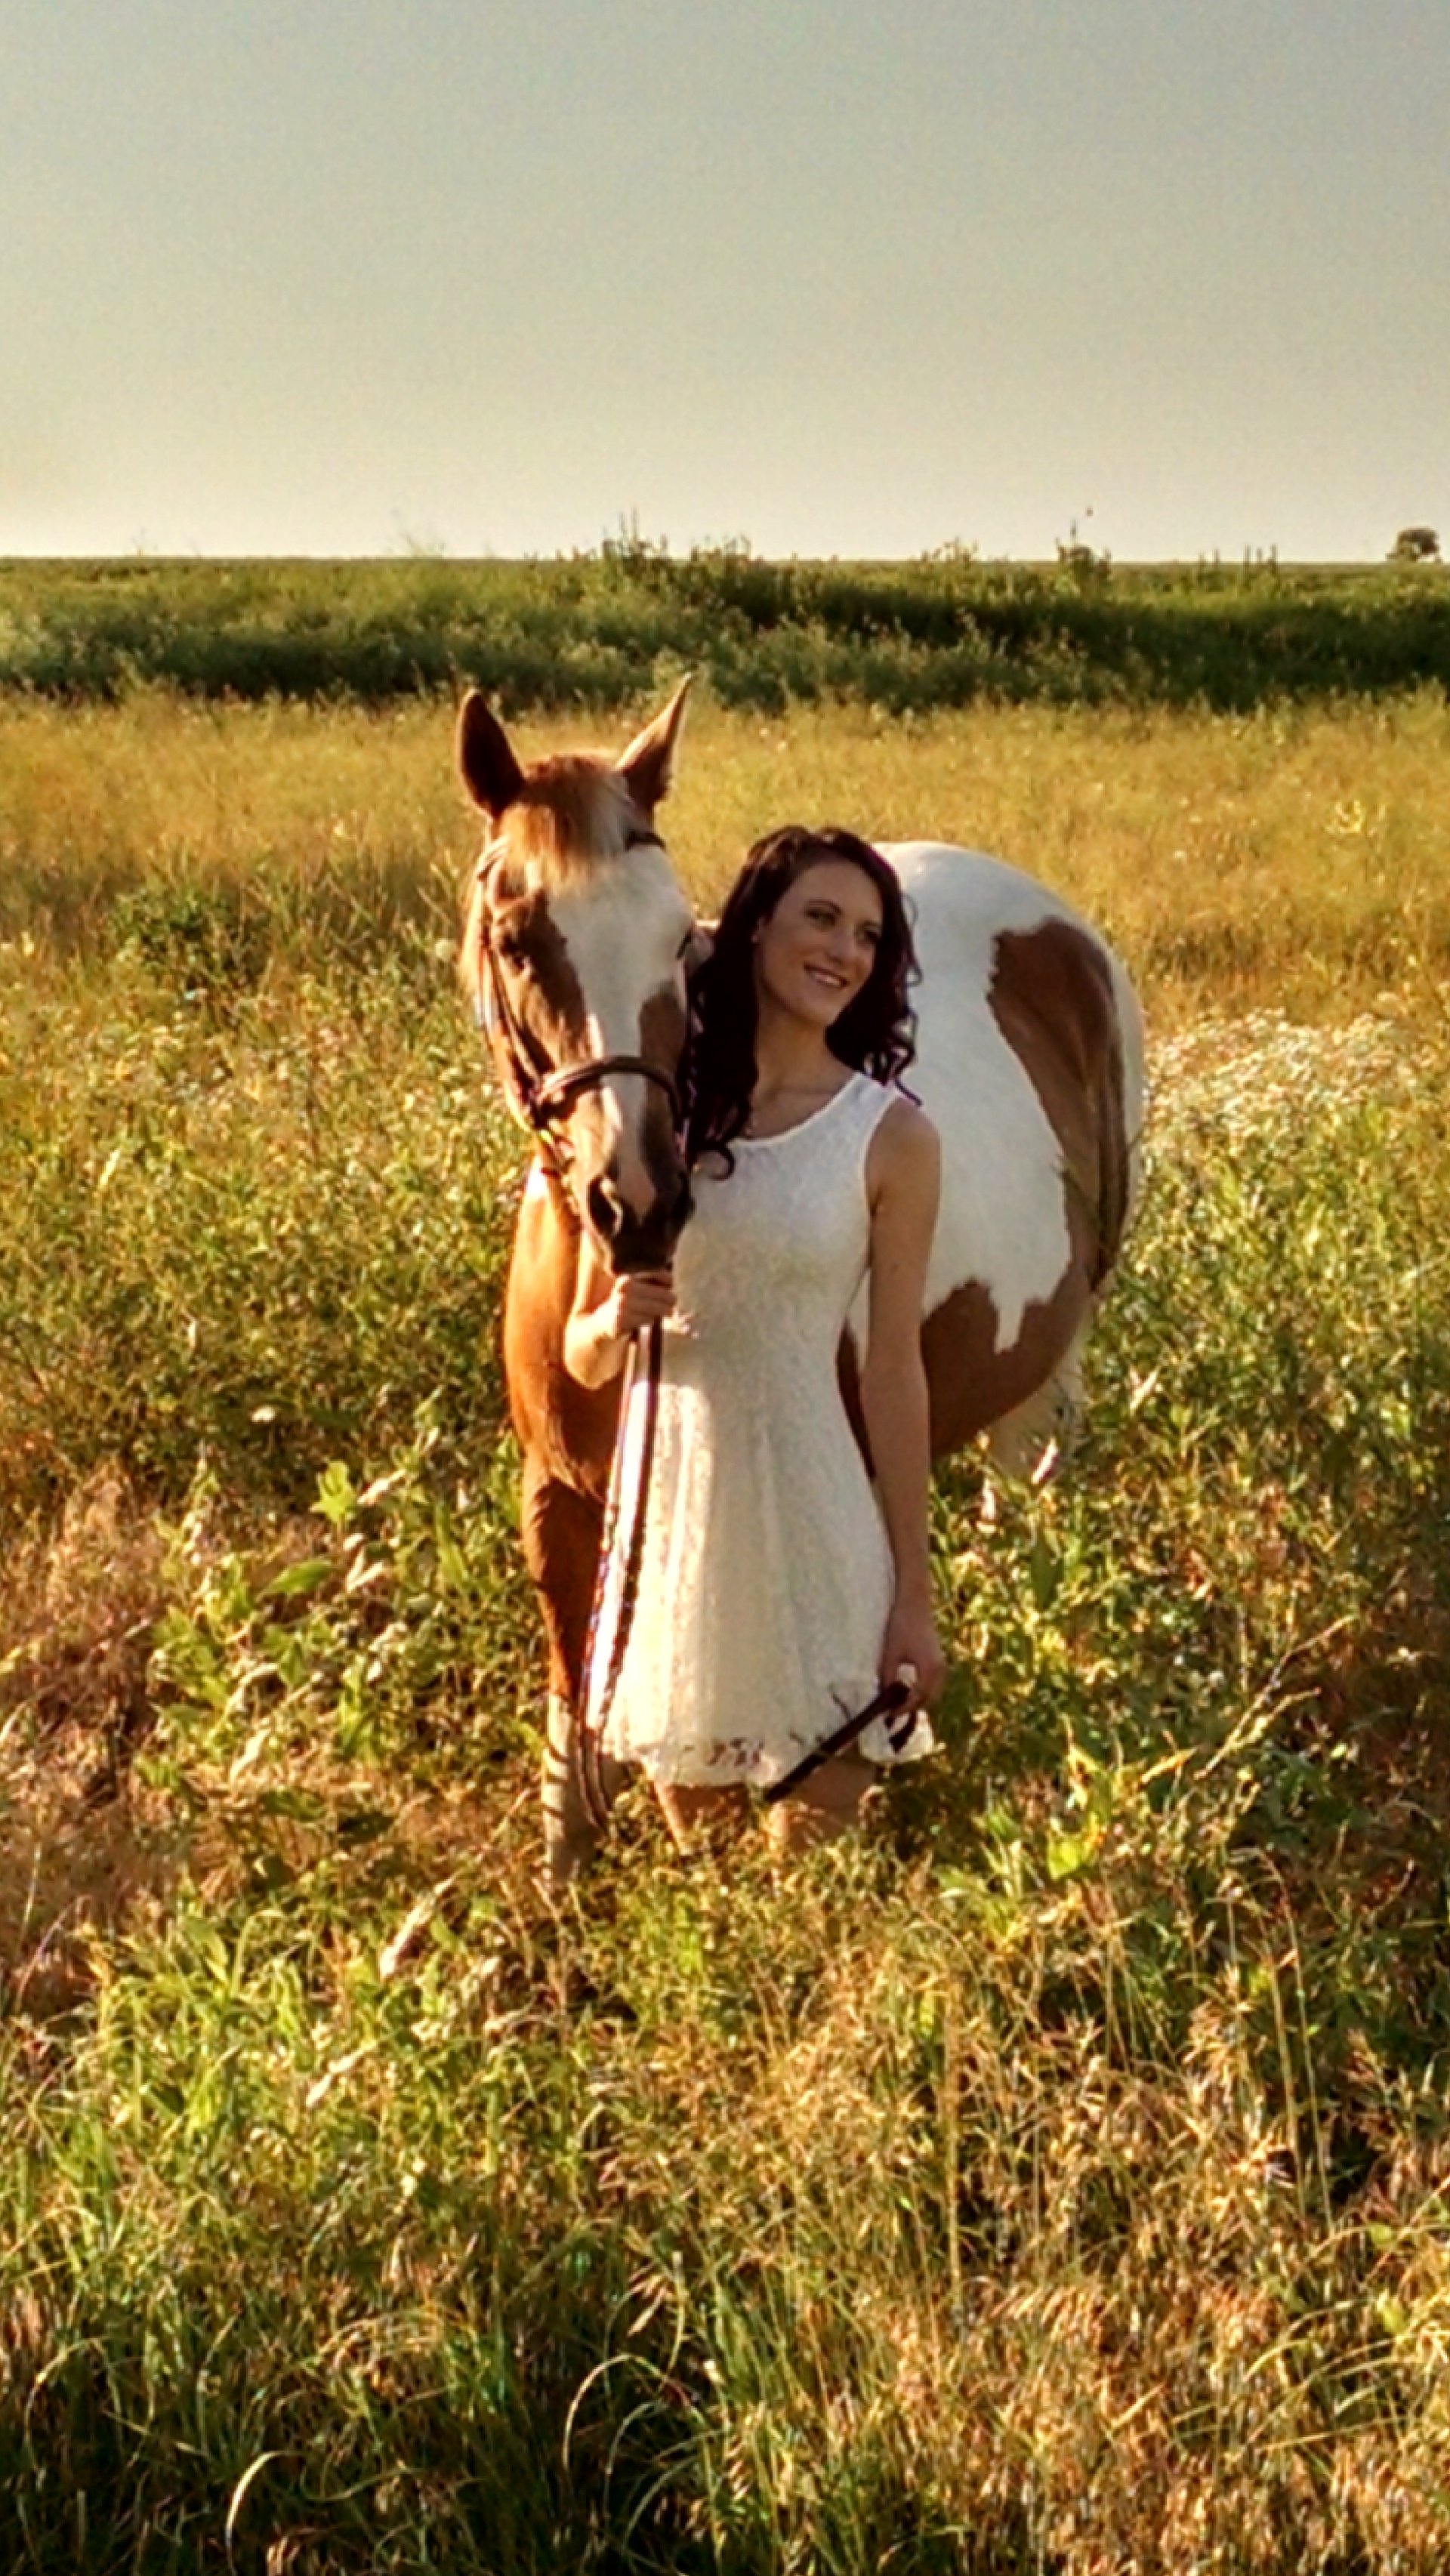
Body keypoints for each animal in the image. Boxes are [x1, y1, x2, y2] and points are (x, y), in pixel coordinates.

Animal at [457, 684, 1145, 1882]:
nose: (639, 1203)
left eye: (680, 945)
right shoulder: (558, 1498)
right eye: (515, 936)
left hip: (1058, 1355)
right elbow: (571, 1735)